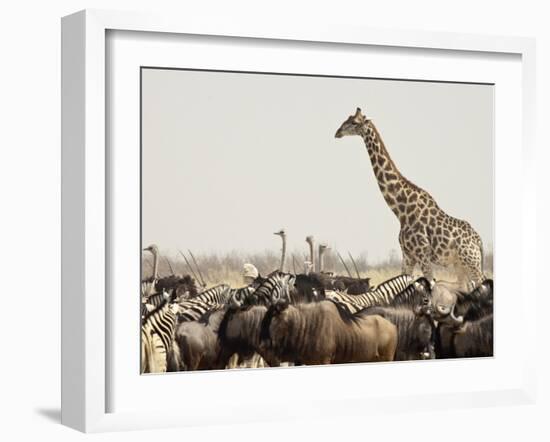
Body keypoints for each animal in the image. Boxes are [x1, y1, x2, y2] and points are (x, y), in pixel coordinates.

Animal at [334, 107, 486, 286]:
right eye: (346, 119)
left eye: (354, 122)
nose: (337, 132)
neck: (402, 210)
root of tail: (479, 241)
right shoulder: (407, 255)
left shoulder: (423, 254)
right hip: (460, 266)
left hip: (472, 263)